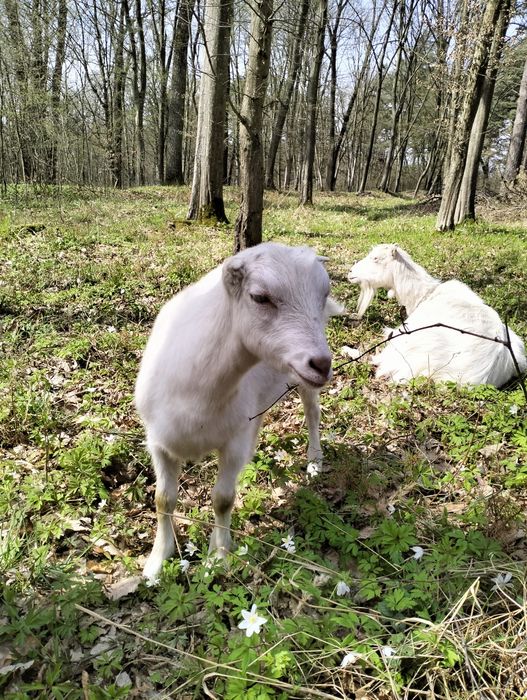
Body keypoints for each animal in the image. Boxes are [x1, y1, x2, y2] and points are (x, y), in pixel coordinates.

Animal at [136, 242, 340, 580]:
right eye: (259, 297)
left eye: (324, 293)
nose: (322, 364)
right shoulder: (159, 442)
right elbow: (163, 499)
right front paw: (156, 562)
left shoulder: (232, 444)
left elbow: (222, 500)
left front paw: (219, 556)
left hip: (302, 380)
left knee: (312, 413)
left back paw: (314, 461)